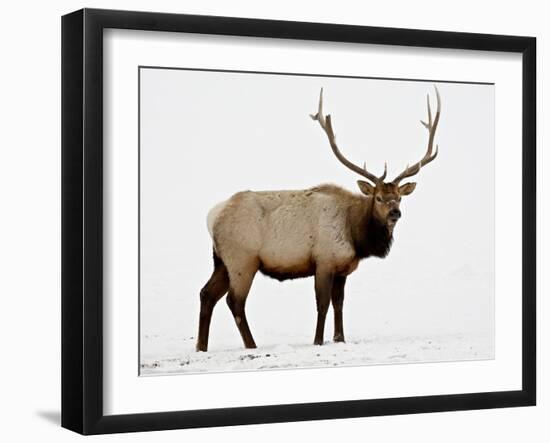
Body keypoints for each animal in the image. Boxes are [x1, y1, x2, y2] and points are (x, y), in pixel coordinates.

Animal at [196, 85, 442, 352]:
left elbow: (339, 303)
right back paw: (251, 345)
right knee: (234, 301)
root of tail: (212, 216)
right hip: (242, 259)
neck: (356, 235)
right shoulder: (324, 260)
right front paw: (317, 341)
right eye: (378, 197)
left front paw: (340, 338)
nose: (395, 213)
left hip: (221, 261)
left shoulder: (343, 268)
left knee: (206, 294)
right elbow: (322, 304)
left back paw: (201, 347)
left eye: (398, 197)